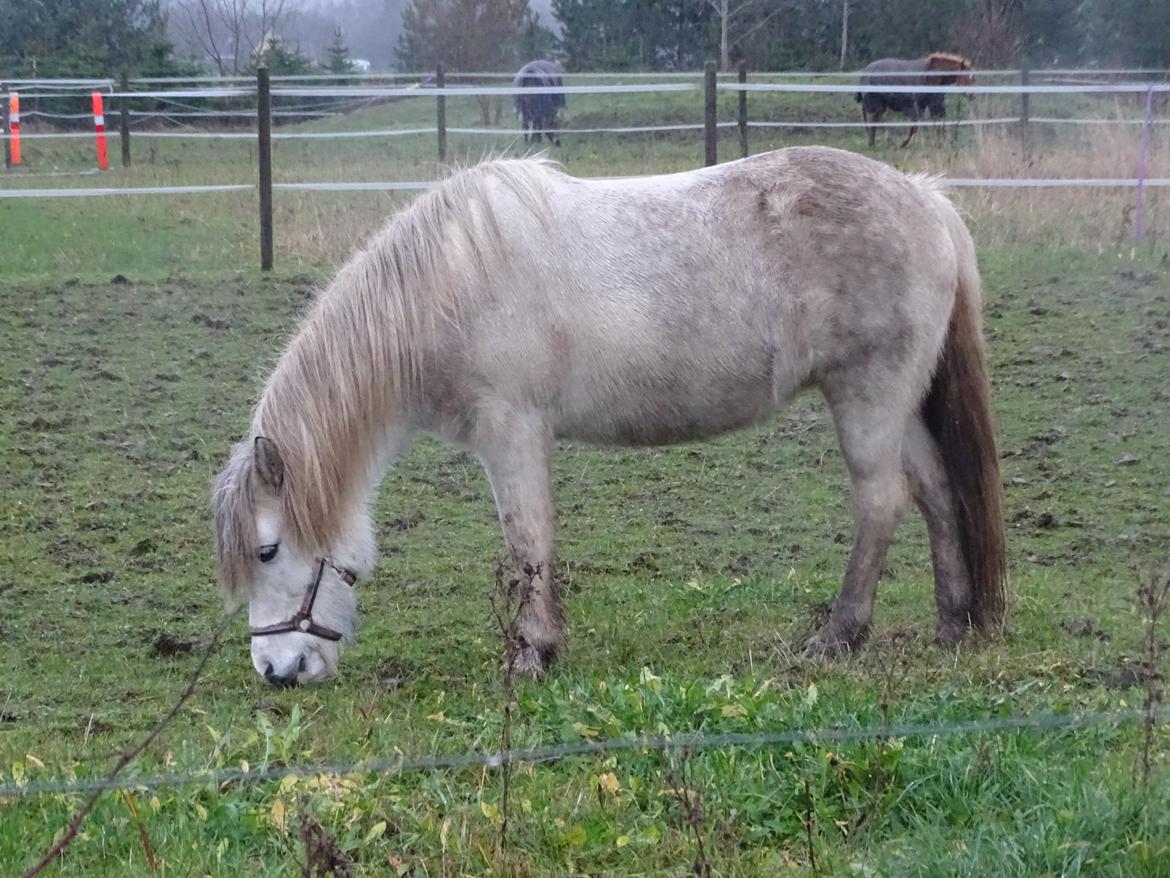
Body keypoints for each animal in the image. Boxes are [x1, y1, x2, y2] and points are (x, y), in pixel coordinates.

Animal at [217, 148, 1006, 688]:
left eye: (267, 550)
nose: (276, 671)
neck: (447, 284)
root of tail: (924, 199)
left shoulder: (511, 432)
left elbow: (528, 540)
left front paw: (533, 653)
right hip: (899, 403)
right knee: (936, 493)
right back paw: (953, 623)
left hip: (866, 397)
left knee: (882, 501)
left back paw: (840, 637)